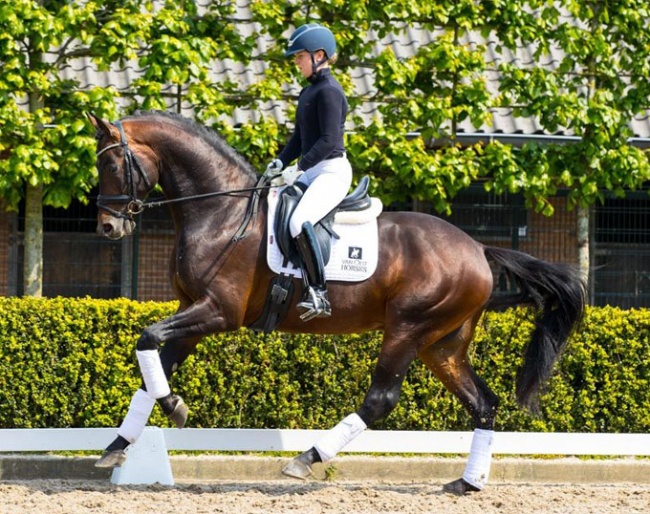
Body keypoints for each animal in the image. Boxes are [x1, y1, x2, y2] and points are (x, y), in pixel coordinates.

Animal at [87, 111, 588, 492]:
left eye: (113, 165)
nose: (108, 228)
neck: (221, 213)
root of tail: (479, 249)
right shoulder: (192, 311)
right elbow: (152, 365)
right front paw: (119, 446)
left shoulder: (217, 312)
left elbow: (147, 339)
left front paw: (173, 408)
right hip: (442, 344)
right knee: (482, 403)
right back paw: (467, 483)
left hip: (409, 329)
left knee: (381, 399)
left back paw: (306, 457)